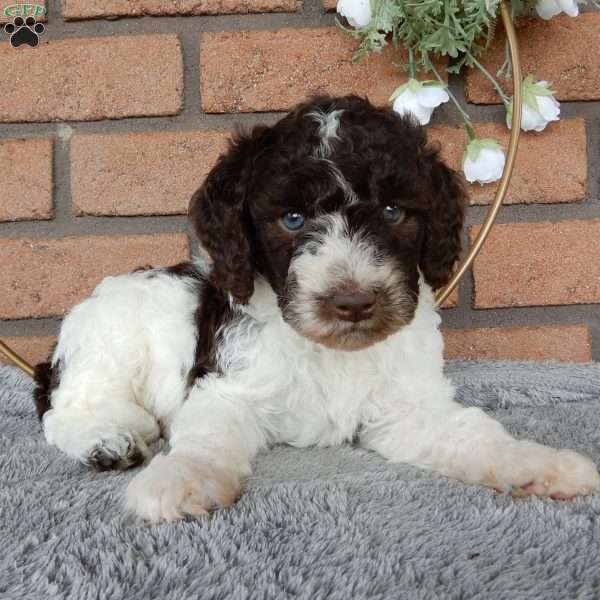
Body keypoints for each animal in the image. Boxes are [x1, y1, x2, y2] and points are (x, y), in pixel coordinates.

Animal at [34, 94, 600, 520]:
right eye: (292, 218)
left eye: (393, 211)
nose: (353, 302)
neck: (331, 352)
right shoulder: (228, 390)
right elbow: (205, 439)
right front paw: (178, 480)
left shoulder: (409, 406)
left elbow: (473, 434)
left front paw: (538, 465)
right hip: (111, 342)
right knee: (65, 407)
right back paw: (110, 439)